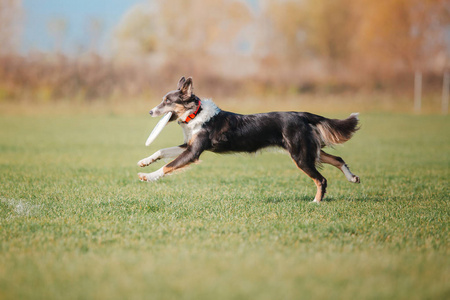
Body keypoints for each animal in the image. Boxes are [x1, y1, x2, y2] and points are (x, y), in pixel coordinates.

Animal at [139, 78, 360, 203]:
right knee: (338, 159)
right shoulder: (189, 145)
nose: (149, 112)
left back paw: (315, 202)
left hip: (300, 155)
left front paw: (147, 176)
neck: (196, 113)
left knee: (321, 179)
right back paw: (352, 178)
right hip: (309, 150)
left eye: (167, 101)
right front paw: (144, 161)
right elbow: (162, 152)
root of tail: (301, 114)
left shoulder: (193, 152)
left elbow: (168, 166)